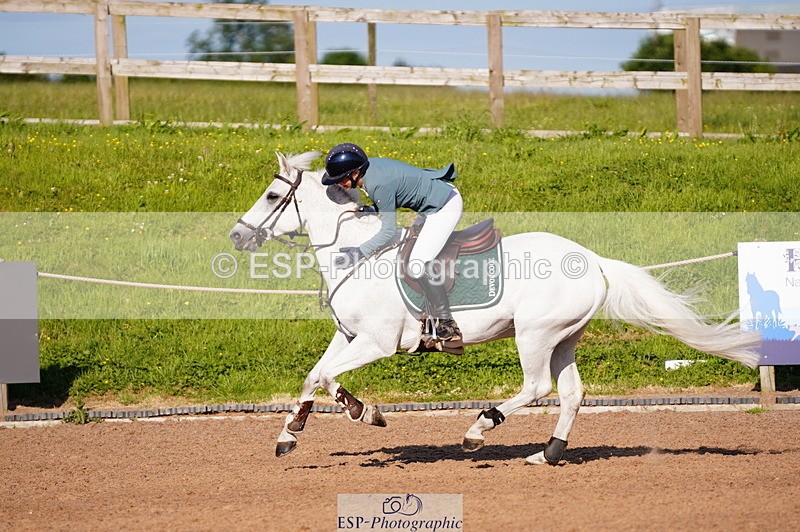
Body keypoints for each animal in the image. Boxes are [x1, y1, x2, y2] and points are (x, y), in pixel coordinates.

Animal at [229, 151, 761, 465]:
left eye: (273, 196)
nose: (236, 236)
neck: (355, 256)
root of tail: (591, 258)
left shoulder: (377, 342)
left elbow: (325, 378)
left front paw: (364, 413)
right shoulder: (349, 336)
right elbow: (314, 376)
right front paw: (292, 433)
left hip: (534, 334)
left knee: (537, 386)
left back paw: (478, 430)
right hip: (564, 337)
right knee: (571, 393)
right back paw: (548, 454)